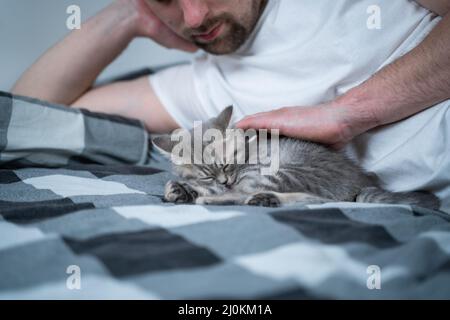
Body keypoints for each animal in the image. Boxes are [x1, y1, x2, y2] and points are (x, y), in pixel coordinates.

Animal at [153, 106, 442, 209]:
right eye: (208, 173)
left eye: (227, 165)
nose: (225, 181)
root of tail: (360, 182)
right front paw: (180, 188)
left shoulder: (249, 172)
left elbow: (223, 189)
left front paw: (191, 191)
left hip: (284, 171)